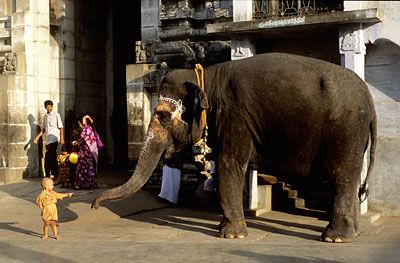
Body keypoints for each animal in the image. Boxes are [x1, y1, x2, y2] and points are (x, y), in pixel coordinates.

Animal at [92, 53, 376, 243]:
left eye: (162, 116)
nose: (94, 205)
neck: (207, 76)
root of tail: (371, 103)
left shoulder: (234, 117)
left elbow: (229, 164)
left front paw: (230, 235)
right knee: (350, 177)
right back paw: (351, 233)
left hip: (346, 130)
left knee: (342, 175)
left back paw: (334, 238)